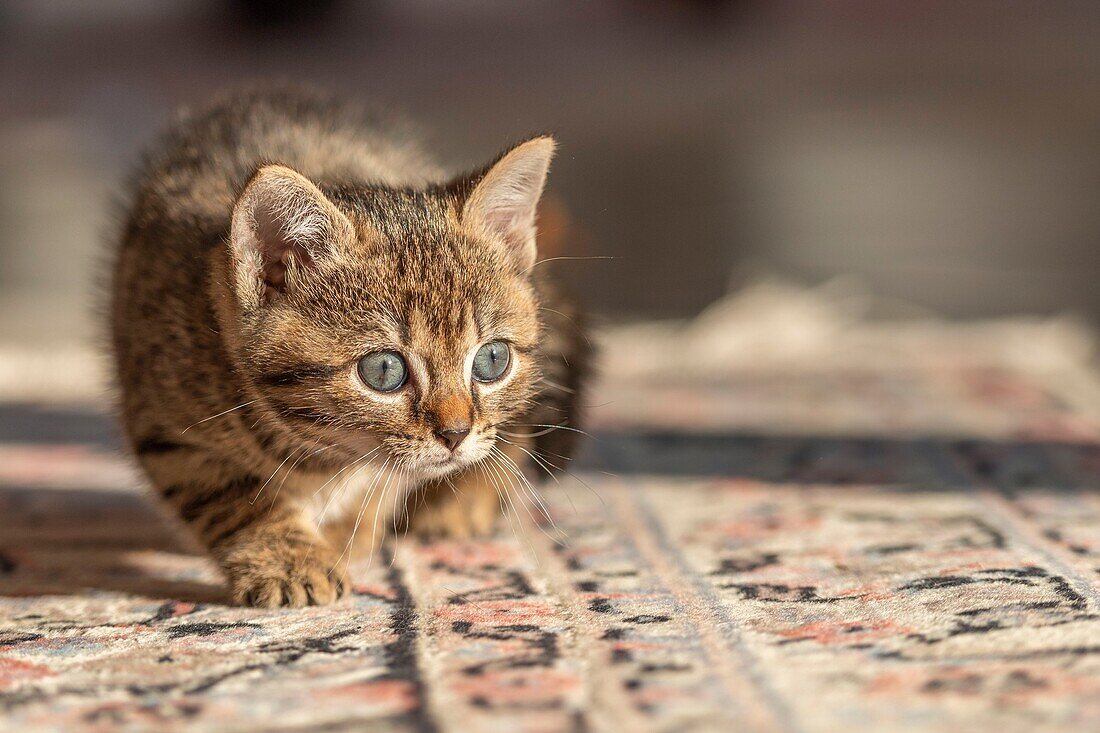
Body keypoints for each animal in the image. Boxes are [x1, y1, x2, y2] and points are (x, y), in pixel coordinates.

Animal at [110, 89, 589, 603]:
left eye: (492, 361)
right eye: (384, 370)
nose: (456, 434)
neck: (318, 453)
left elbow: (382, 483)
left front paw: (348, 533)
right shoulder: (168, 425)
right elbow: (234, 497)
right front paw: (289, 561)